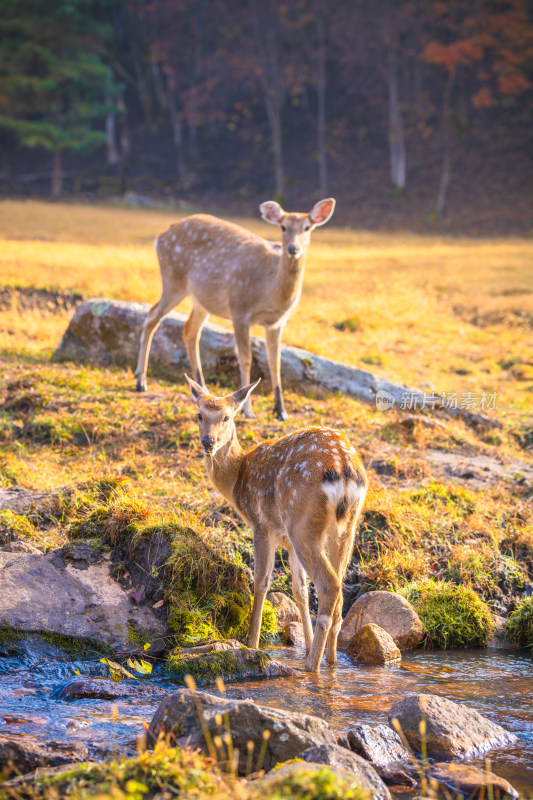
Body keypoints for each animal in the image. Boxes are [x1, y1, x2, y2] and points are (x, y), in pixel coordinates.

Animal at [134, 198, 332, 418]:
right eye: (283, 226)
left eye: (307, 227)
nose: (292, 248)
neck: (271, 291)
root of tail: (159, 237)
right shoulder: (240, 309)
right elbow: (245, 359)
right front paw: (248, 410)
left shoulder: (276, 322)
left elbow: (275, 362)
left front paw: (281, 411)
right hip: (173, 280)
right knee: (152, 316)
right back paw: (140, 381)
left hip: (202, 299)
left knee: (189, 330)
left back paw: (202, 390)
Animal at [186, 376, 366, 668]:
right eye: (199, 414)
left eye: (227, 417)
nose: (207, 442)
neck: (238, 477)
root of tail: (344, 469)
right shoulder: (287, 541)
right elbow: (300, 590)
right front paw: (304, 644)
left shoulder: (262, 524)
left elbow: (261, 580)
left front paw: (252, 643)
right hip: (345, 528)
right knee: (338, 592)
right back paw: (329, 662)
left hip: (302, 522)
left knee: (329, 585)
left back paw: (312, 667)